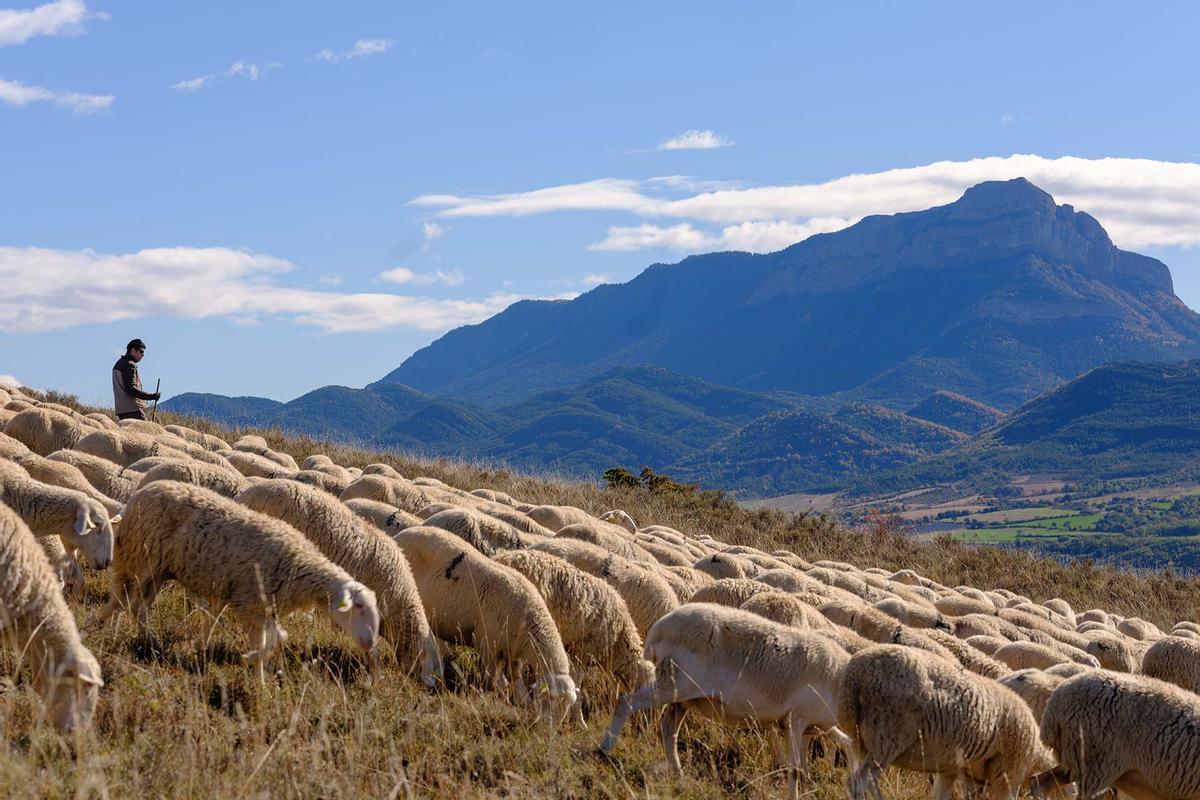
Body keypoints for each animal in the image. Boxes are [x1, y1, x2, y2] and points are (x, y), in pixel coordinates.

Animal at [101, 481, 379, 672]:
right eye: (358, 606)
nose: (369, 643)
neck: (298, 565)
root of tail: (143, 491)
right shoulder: (250, 604)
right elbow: (267, 643)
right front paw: (251, 665)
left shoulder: (265, 608)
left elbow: (271, 642)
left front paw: (259, 679)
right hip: (139, 560)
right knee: (124, 599)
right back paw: (109, 629)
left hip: (157, 570)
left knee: (138, 607)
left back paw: (146, 641)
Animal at [237, 480, 441, 686]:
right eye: (430, 662)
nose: (432, 686)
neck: (399, 599)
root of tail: (245, 496)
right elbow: (372, 649)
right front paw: (377, 675)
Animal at [392, 526, 576, 712]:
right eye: (552, 701)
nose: (549, 723)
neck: (529, 623)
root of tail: (403, 534)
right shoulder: (487, 644)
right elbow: (495, 681)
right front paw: (496, 699)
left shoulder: (513, 651)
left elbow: (516, 679)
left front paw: (523, 702)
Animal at [601, 603, 854, 800]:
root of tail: (658, 630)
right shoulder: (795, 720)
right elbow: (795, 770)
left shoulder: (816, 724)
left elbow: (846, 743)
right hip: (673, 684)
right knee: (626, 702)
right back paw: (605, 750)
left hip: (682, 696)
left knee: (668, 729)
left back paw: (678, 773)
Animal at [840, 644, 1041, 800]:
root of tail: (856, 673)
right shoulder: (1006, 775)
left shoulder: (952, 769)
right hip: (886, 737)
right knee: (857, 784)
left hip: (861, 739)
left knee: (865, 780)